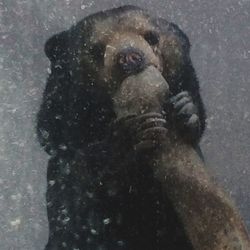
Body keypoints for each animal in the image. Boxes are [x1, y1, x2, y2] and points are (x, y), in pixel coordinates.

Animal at [37, 4, 250, 249]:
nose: (129, 57)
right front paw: (132, 133)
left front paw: (185, 109)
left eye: (152, 37)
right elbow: (69, 154)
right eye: (96, 49)